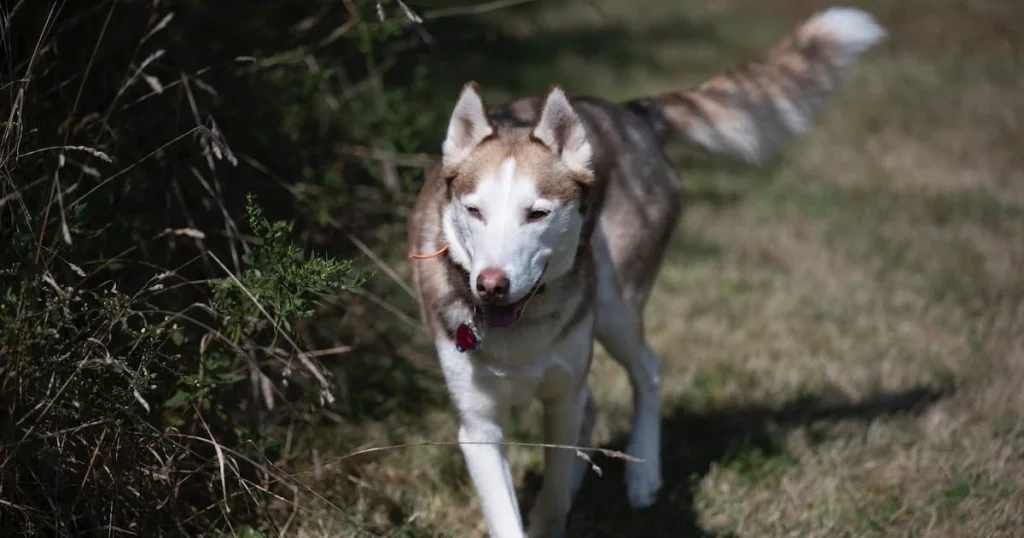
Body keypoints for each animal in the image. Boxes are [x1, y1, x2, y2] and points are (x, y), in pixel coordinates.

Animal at [403, 6, 884, 532]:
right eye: (474, 211)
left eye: (536, 213)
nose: (491, 286)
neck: (520, 329)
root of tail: (630, 113)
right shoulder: (479, 426)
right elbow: (510, 510)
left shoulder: (562, 398)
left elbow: (555, 489)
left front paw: (558, 509)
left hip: (614, 307)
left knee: (647, 369)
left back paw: (642, 473)